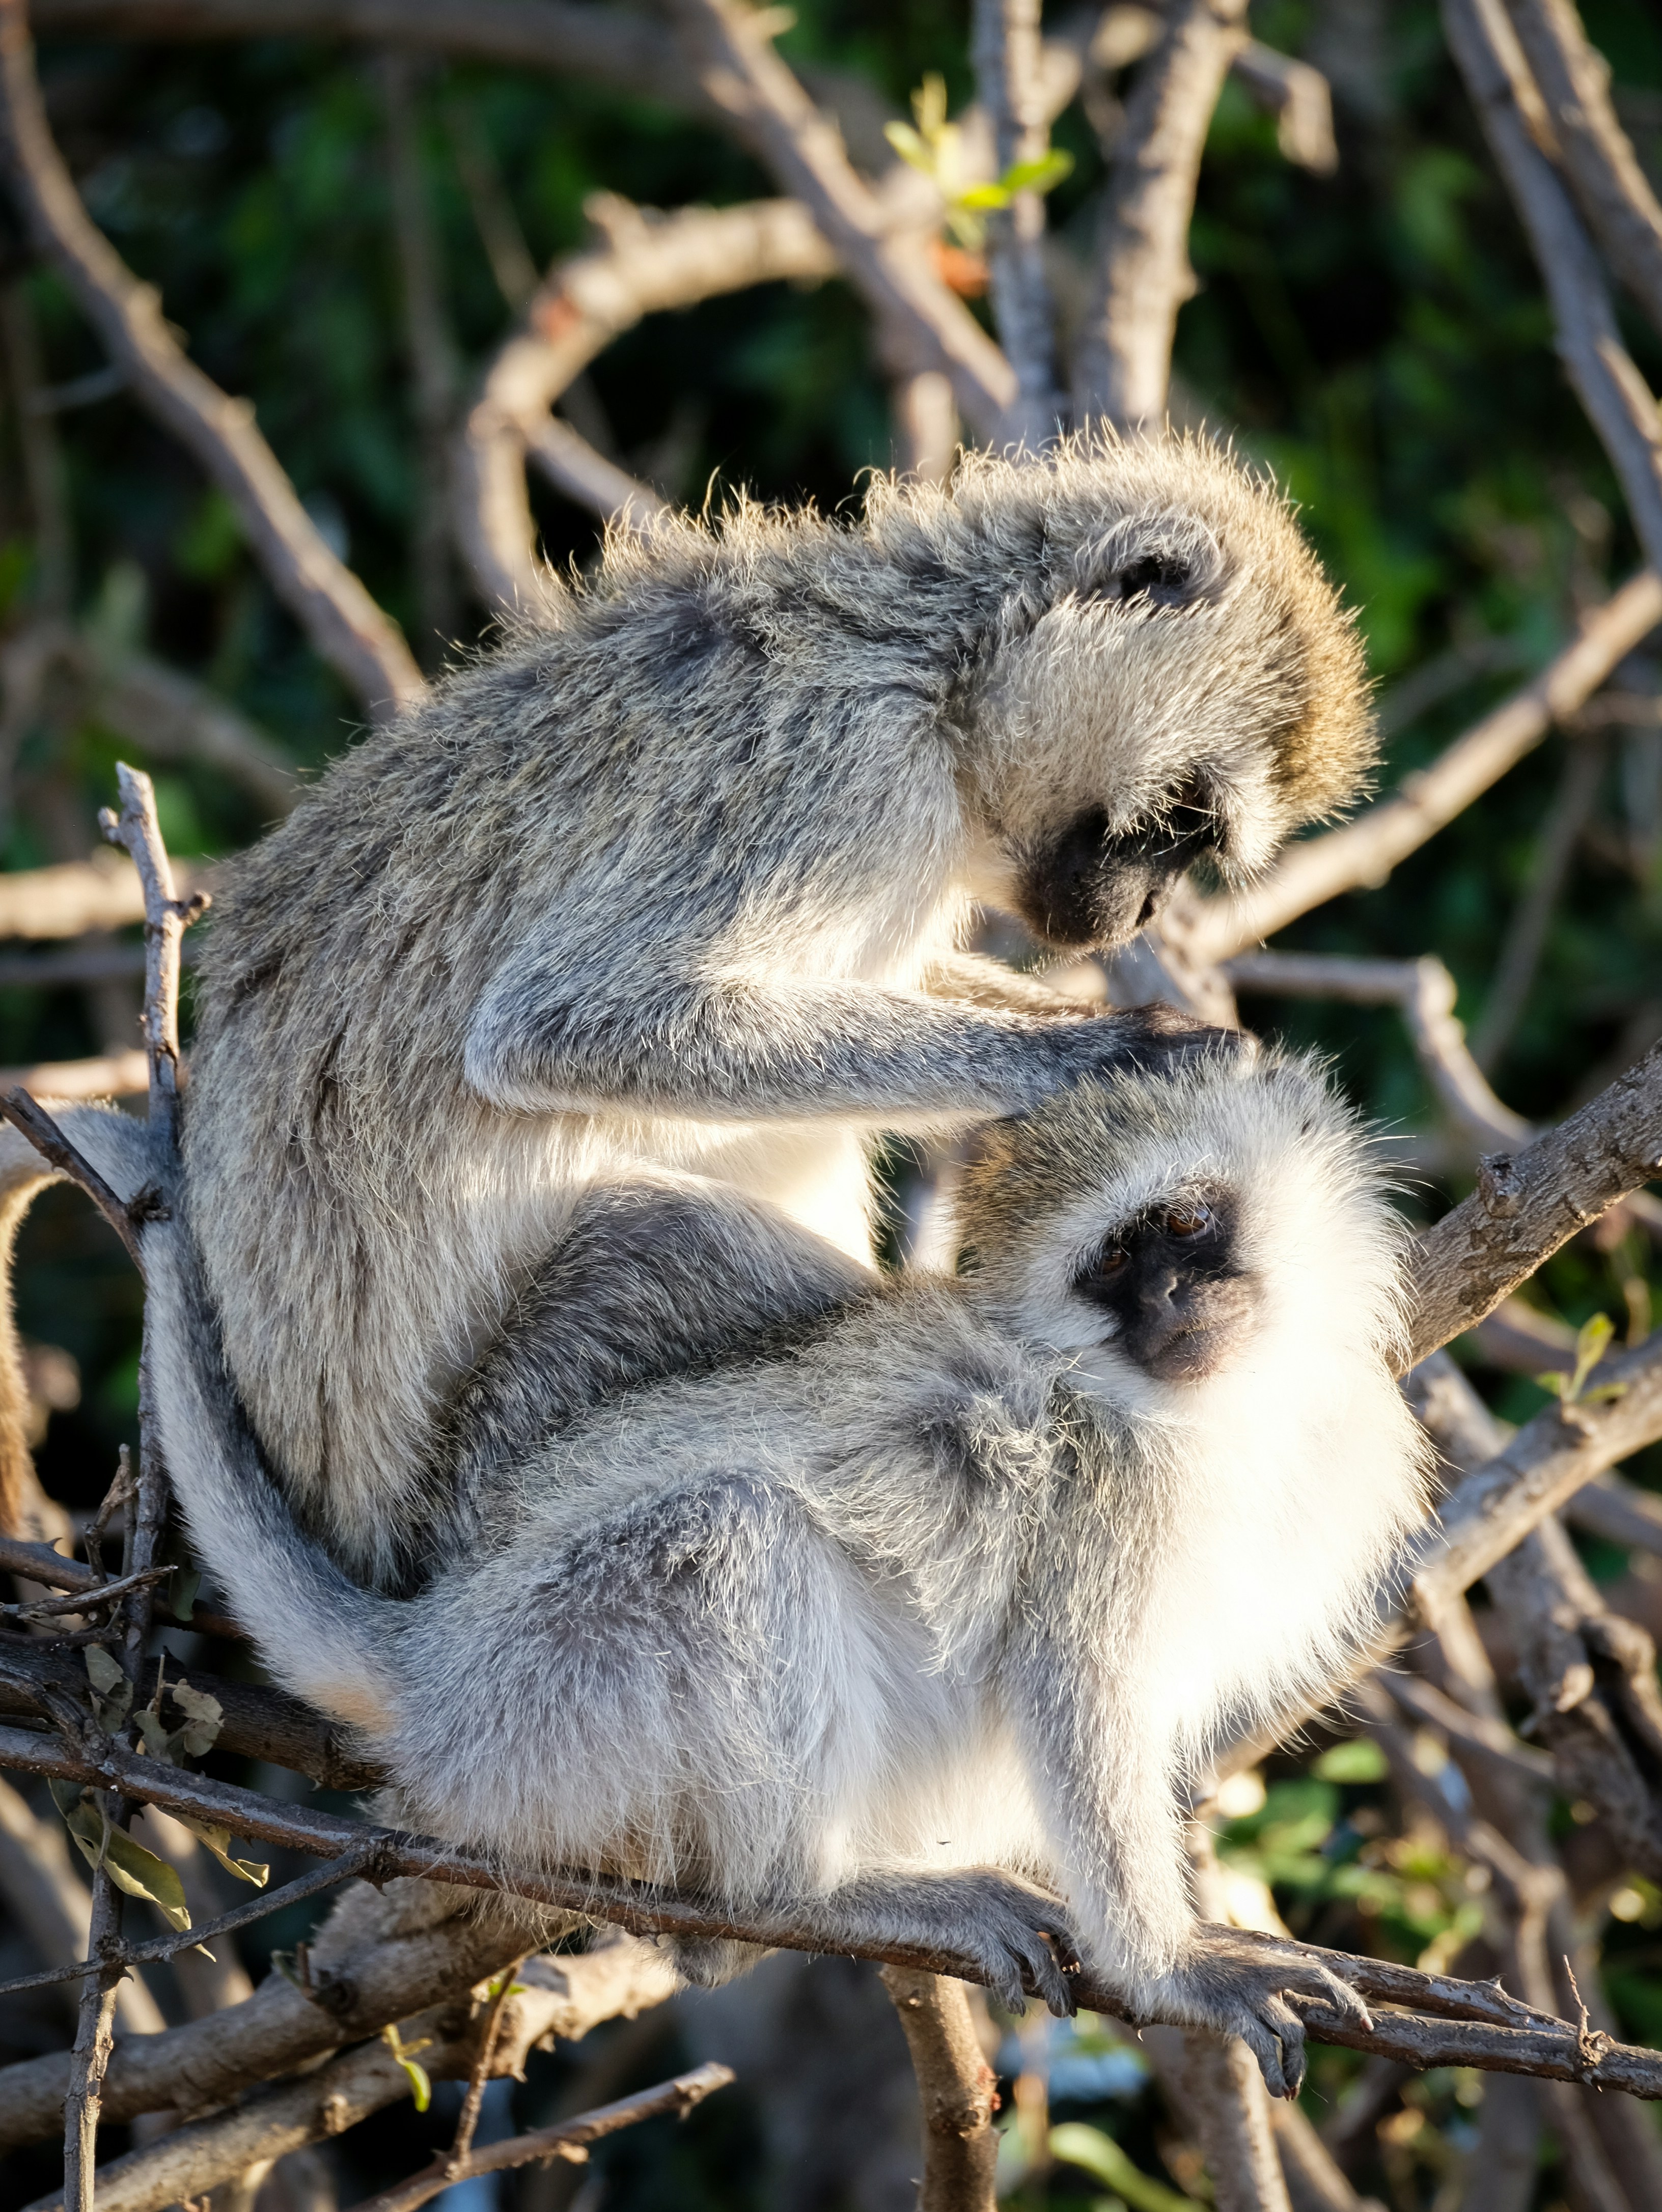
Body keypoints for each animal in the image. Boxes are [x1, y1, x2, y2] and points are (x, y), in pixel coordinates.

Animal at [31, 1041, 1426, 2098]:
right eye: (1113, 1263)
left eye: (1184, 1223)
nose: (1172, 1304)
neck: (1221, 1417)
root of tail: (436, 1648)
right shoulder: (1106, 1519)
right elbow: (1076, 1704)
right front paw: (1172, 1967)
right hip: (555, 1685)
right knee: (740, 1527)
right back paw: (822, 1892)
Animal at [150, 433, 1375, 1594]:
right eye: (1175, 823)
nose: (1146, 911)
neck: (935, 671)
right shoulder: (843, 767)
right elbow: (568, 1023)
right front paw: (1106, 1052)